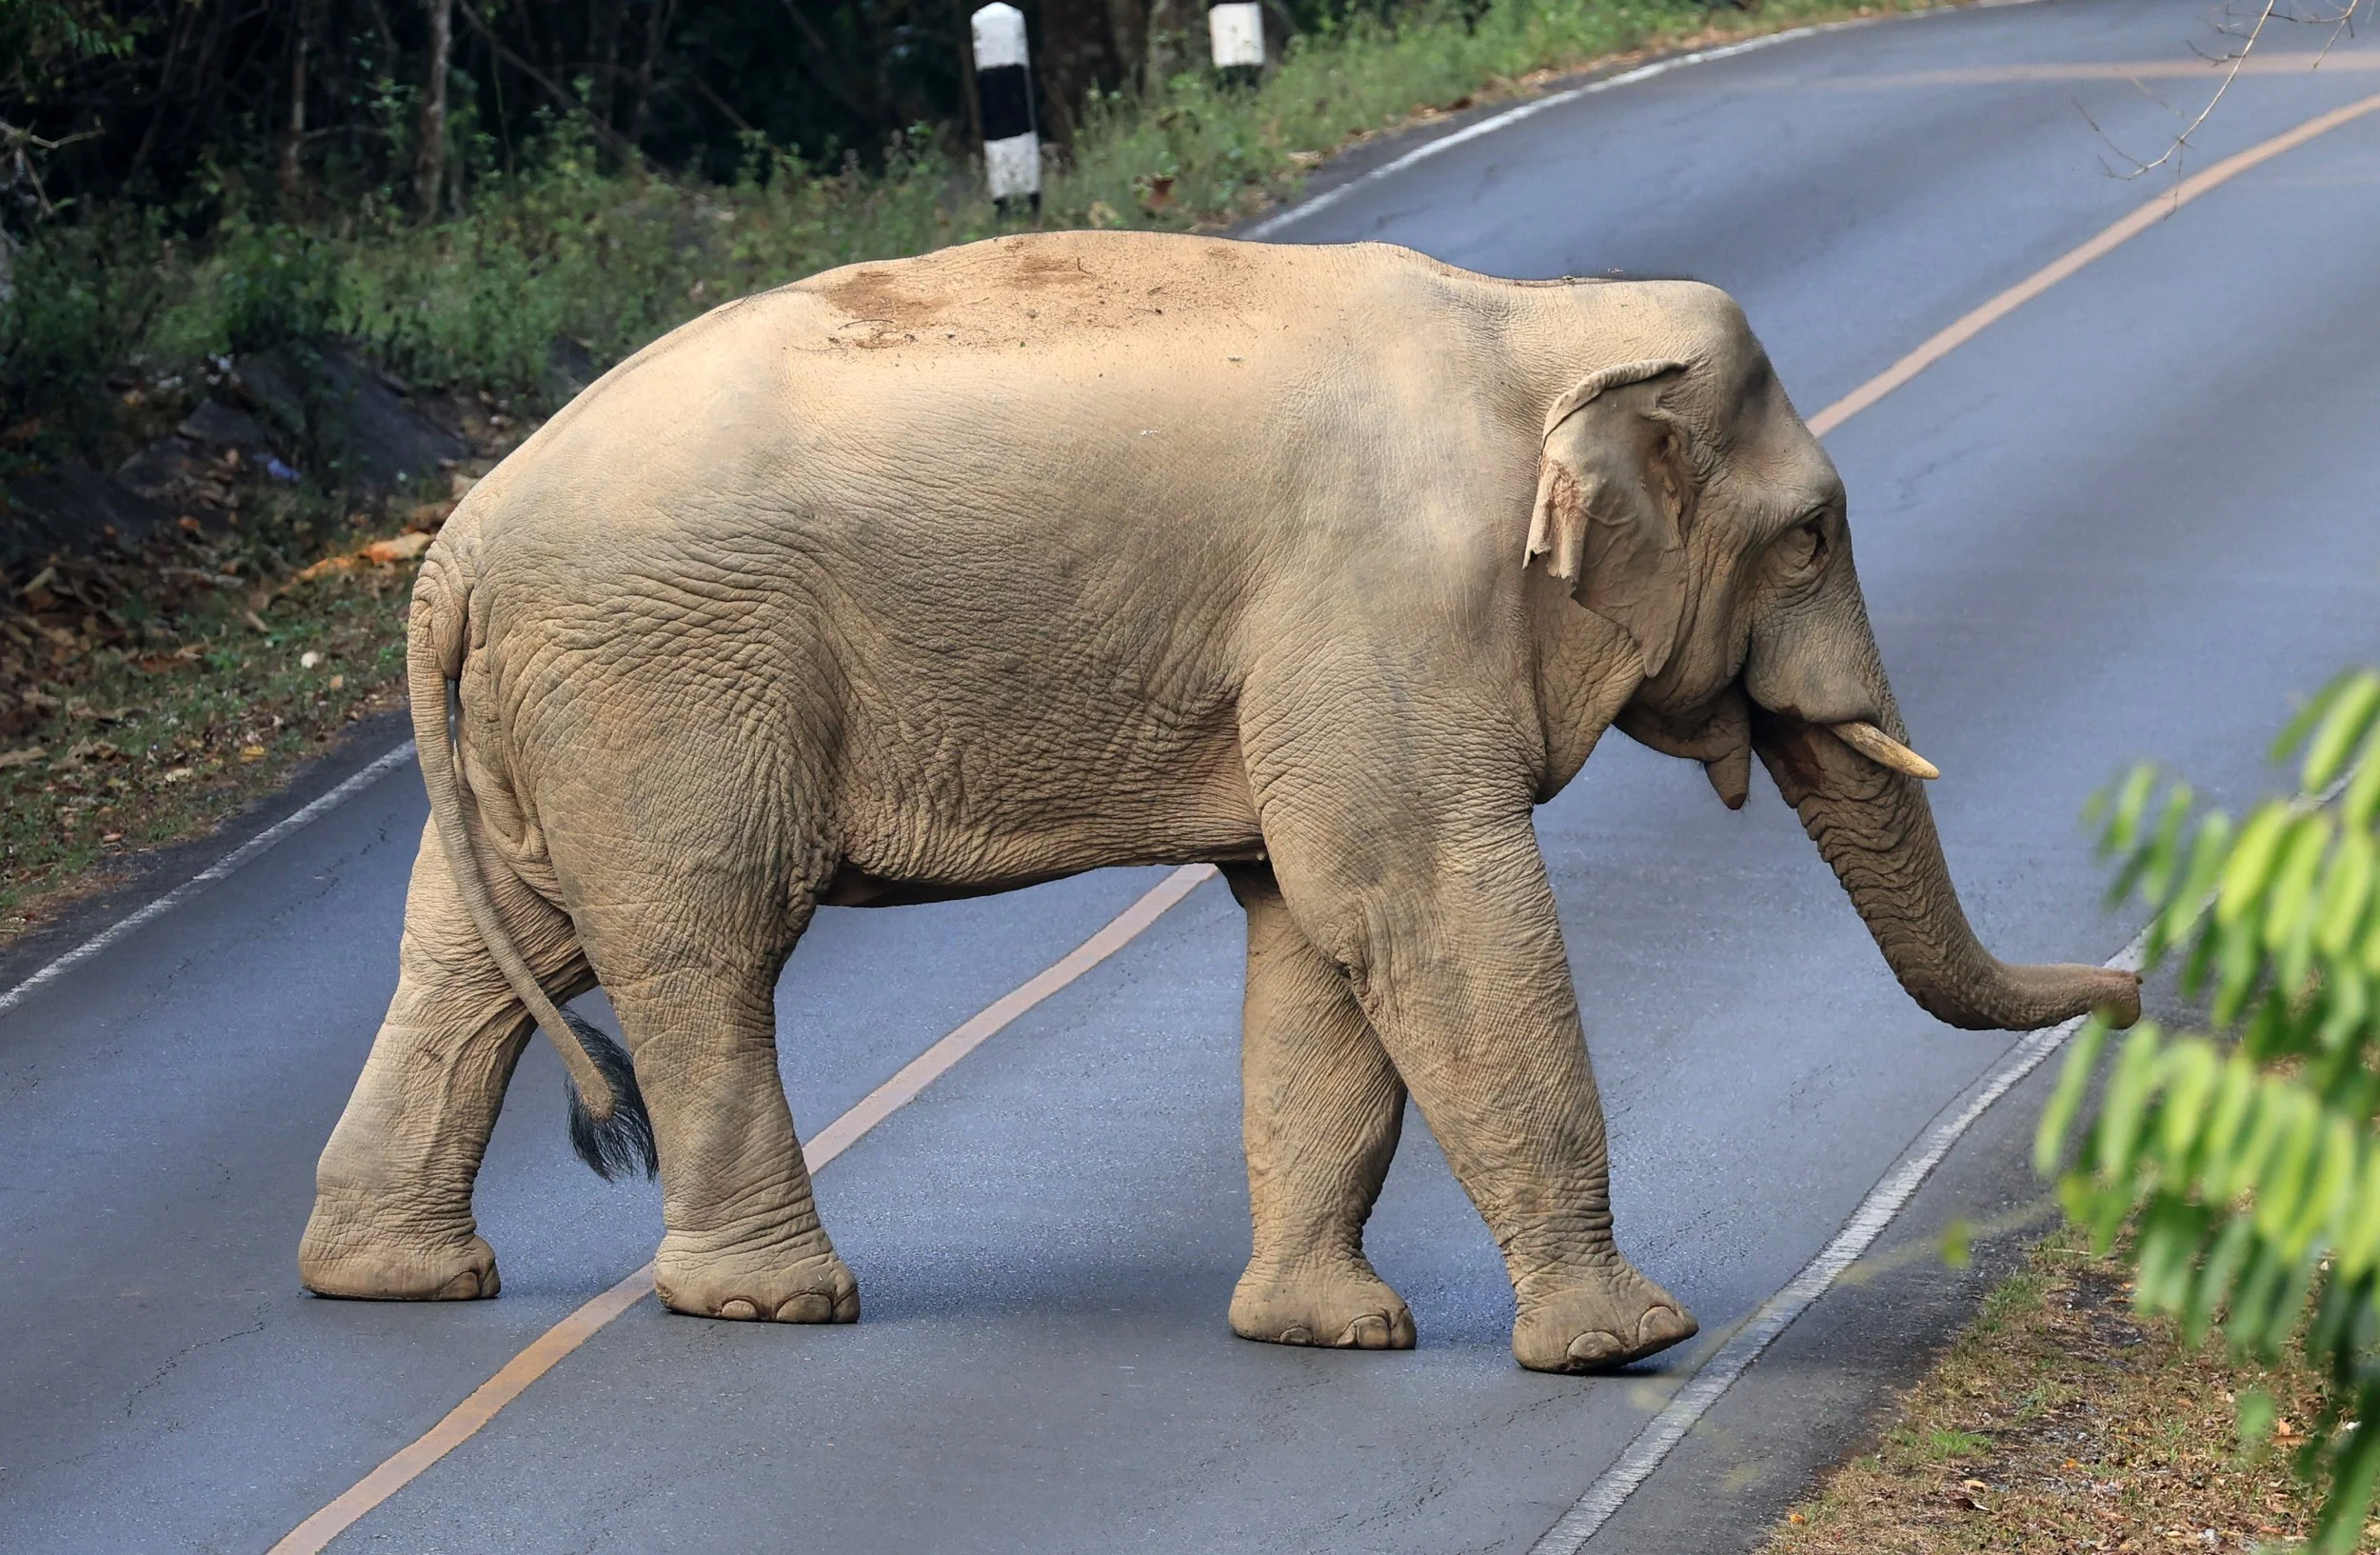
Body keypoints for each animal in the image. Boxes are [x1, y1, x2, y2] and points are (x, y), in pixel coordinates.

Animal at [297, 230, 2141, 1373]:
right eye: (1815, 532)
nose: (2132, 991)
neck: (1537, 319)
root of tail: (454, 544)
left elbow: (1312, 938)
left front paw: (1325, 1330)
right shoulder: (1379, 602)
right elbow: (1416, 900)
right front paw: (1628, 1344)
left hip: (548, 714)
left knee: (476, 954)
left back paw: (392, 1273)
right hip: (670, 684)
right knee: (702, 951)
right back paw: (775, 1302)